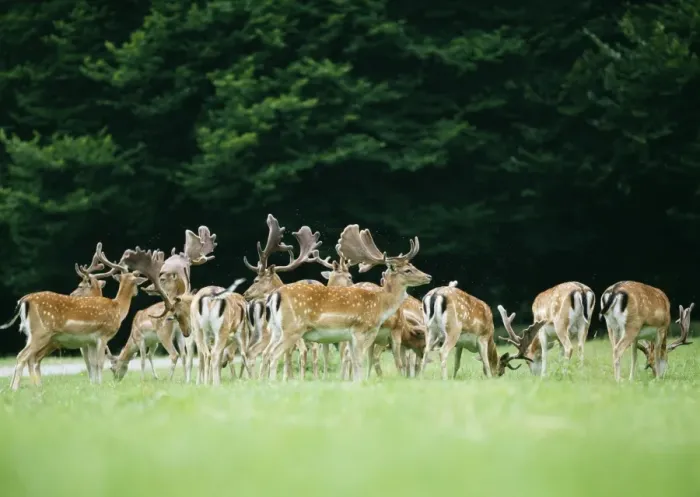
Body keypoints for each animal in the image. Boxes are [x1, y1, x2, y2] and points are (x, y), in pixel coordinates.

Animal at [0, 244, 148, 390]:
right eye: (137, 282)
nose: (137, 292)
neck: (118, 308)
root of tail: (25, 299)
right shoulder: (103, 335)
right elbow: (99, 362)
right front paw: (100, 385)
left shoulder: (91, 340)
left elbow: (93, 363)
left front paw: (94, 385)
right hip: (41, 332)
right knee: (23, 356)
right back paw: (16, 388)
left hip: (32, 334)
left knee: (29, 357)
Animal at [264, 224, 432, 382]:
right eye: (407, 270)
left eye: (412, 266)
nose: (428, 276)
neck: (380, 304)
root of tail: (275, 295)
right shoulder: (360, 329)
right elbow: (359, 360)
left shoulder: (351, 336)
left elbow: (354, 360)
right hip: (293, 328)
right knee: (274, 353)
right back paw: (272, 382)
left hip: (276, 329)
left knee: (268, 352)